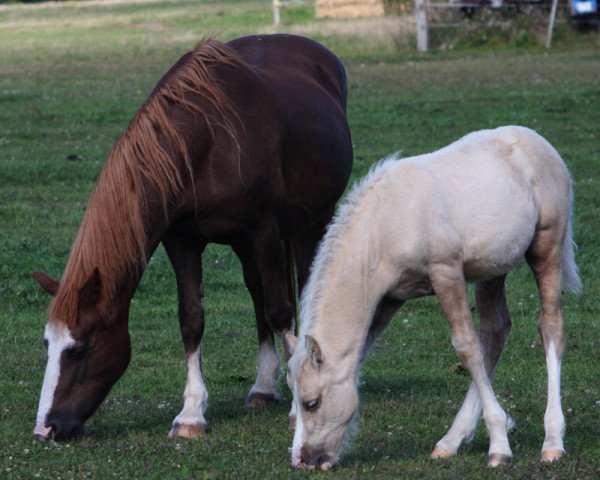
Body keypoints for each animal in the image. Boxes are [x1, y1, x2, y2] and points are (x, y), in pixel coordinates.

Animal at [31, 33, 352, 442]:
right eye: (47, 345)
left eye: (78, 350)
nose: (46, 428)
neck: (208, 142)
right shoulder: (181, 240)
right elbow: (192, 319)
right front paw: (191, 414)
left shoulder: (264, 229)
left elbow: (281, 312)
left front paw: (299, 408)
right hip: (246, 244)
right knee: (257, 292)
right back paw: (263, 387)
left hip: (313, 220)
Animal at [286, 125, 580, 470]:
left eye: (312, 402)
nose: (302, 460)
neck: (385, 224)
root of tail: (538, 141)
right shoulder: (389, 298)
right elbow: (361, 355)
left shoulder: (446, 271)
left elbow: (466, 348)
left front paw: (499, 445)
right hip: (492, 268)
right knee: (496, 331)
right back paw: (452, 440)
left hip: (546, 247)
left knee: (550, 327)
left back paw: (552, 440)